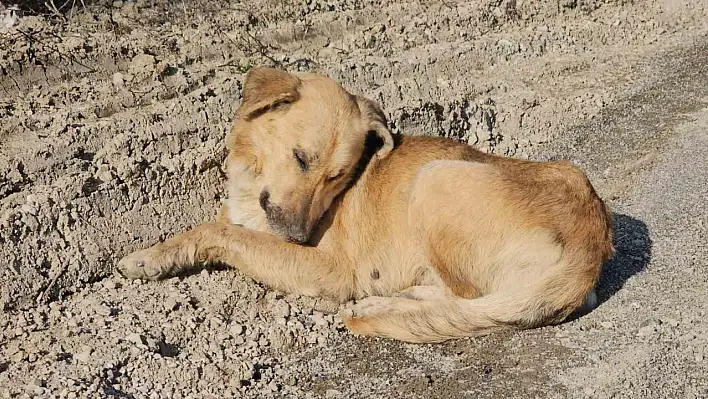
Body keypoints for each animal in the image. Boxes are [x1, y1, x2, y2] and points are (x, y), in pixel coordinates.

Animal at [117, 68, 612, 344]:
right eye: (301, 159)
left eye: (338, 176)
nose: (298, 237)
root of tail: (592, 240)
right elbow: (213, 227)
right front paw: (155, 255)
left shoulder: (328, 269)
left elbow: (218, 232)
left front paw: (148, 258)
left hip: (435, 179)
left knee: (470, 300)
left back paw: (379, 307)